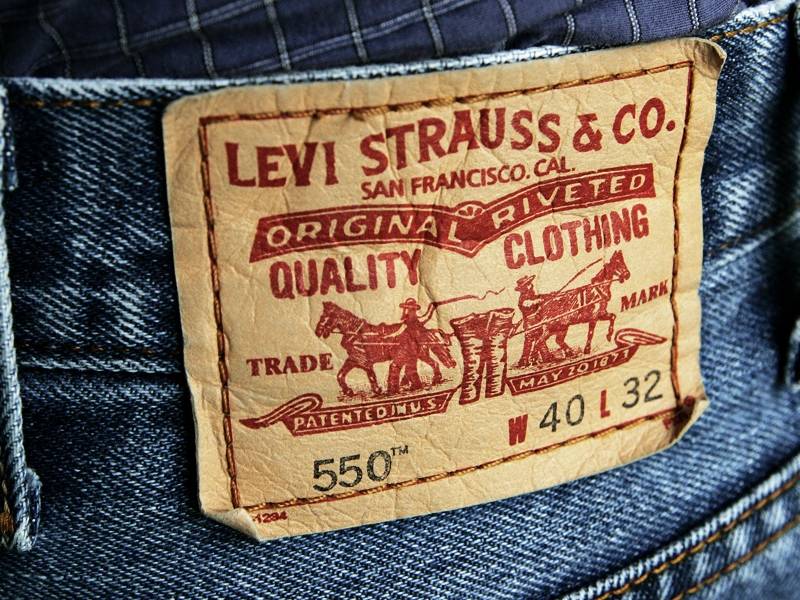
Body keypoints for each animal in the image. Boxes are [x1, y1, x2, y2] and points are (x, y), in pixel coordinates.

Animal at [315, 302, 456, 397]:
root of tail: (423, 330)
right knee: (429, 364)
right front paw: (348, 391)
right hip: (419, 354)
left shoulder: (364, 361)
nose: (317, 332)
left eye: (324, 317)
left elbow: (371, 375)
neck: (356, 333)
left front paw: (377, 390)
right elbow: (340, 374)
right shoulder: (353, 359)